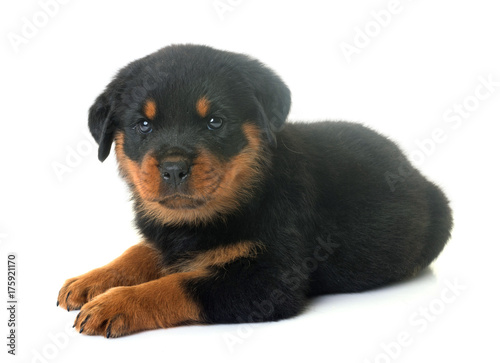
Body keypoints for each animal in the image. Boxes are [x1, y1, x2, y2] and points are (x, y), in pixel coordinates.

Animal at [57, 44, 454, 338]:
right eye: (143, 125)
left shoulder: (268, 281)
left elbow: (178, 284)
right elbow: (140, 251)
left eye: (215, 121)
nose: (172, 169)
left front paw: (115, 304)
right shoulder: (169, 239)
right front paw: (92, 280)